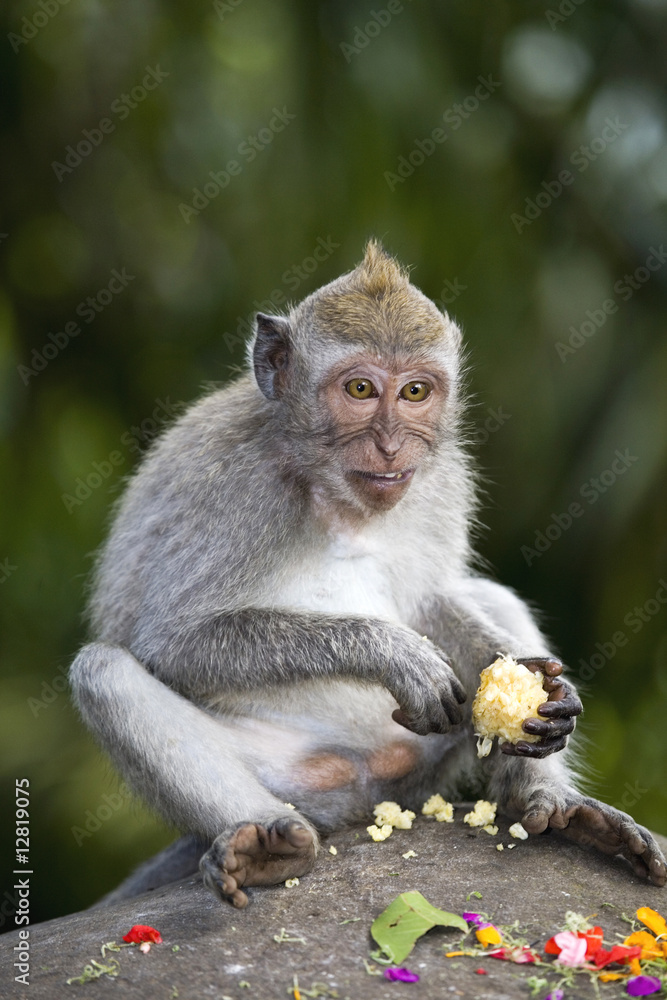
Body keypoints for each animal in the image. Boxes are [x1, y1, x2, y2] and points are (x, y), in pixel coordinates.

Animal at [69, 240, 667, 908]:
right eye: (360, 388)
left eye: (414, 392)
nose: (390, 444)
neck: (332, 493)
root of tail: (363, 795)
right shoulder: (234, 488)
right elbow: (172, 642)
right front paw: (392, 653)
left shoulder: (441, 481)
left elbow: (431, 597)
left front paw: (536, 685)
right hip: (295, 780)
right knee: (104, 671)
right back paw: (263, 842)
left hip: (426, 763)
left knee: (491, 597)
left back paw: (556, 806)